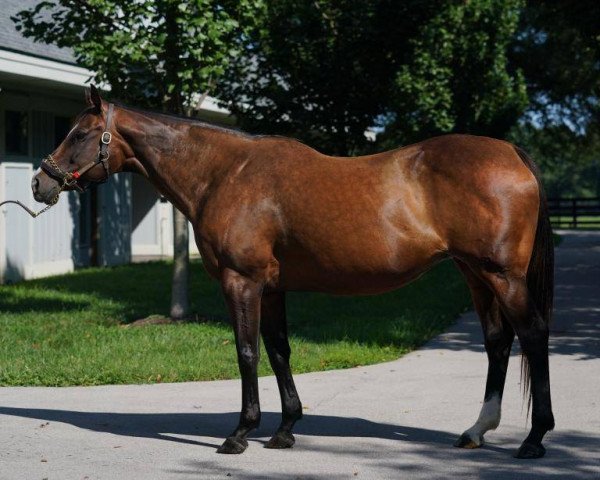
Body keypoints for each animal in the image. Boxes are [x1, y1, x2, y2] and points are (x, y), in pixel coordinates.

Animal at [30, 86, 552, 458]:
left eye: (80, 134)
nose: (39, 183)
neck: (224, 173)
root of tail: (511, 153)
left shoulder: (241, 282)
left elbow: (246, 352)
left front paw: (240, 434)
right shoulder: (272, 289)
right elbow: (279, 351)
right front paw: (284, 430)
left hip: (501, 275)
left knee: (531, 334)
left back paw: (534, 439)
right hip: (474, 274)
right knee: (498, 341)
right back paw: (476, 431)